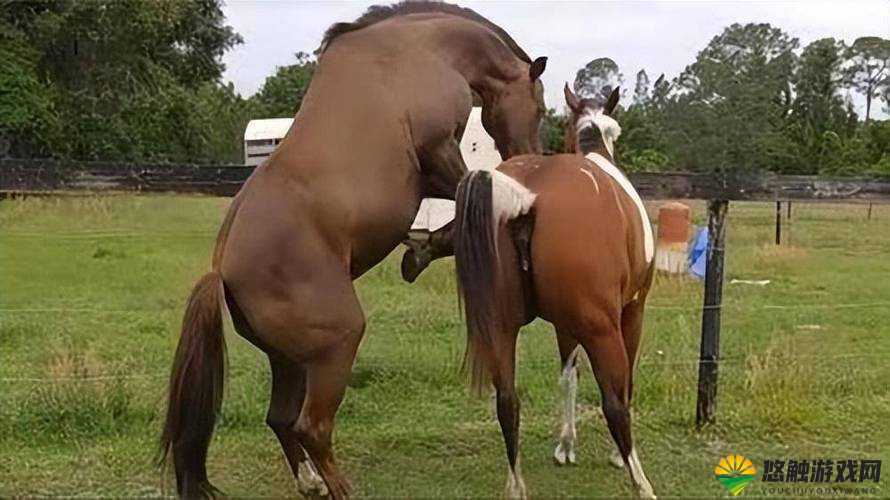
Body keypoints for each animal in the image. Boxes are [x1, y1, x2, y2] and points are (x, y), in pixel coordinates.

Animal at [158, 3, 548, 498]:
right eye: (541, 106)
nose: (529, 154)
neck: (422, 48)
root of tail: (222, 271)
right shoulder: (437, 152)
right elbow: (470, 193)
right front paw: (427, 247)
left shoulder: (429, 174)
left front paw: (420, 250)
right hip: (337, 346)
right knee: (312, 428)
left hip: (289, 360)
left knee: (281, 420)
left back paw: (310, 483)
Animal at [452, 84, 657, 499]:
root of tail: (527, 195)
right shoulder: (632, 311)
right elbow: (624, 383)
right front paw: (613, 456)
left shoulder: (564, 325)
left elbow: (567, 377)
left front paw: (565, 445)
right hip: (602, 329)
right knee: (614, 404)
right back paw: (641, 482)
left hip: (500, 326)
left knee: (507, 402)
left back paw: (516, 485)